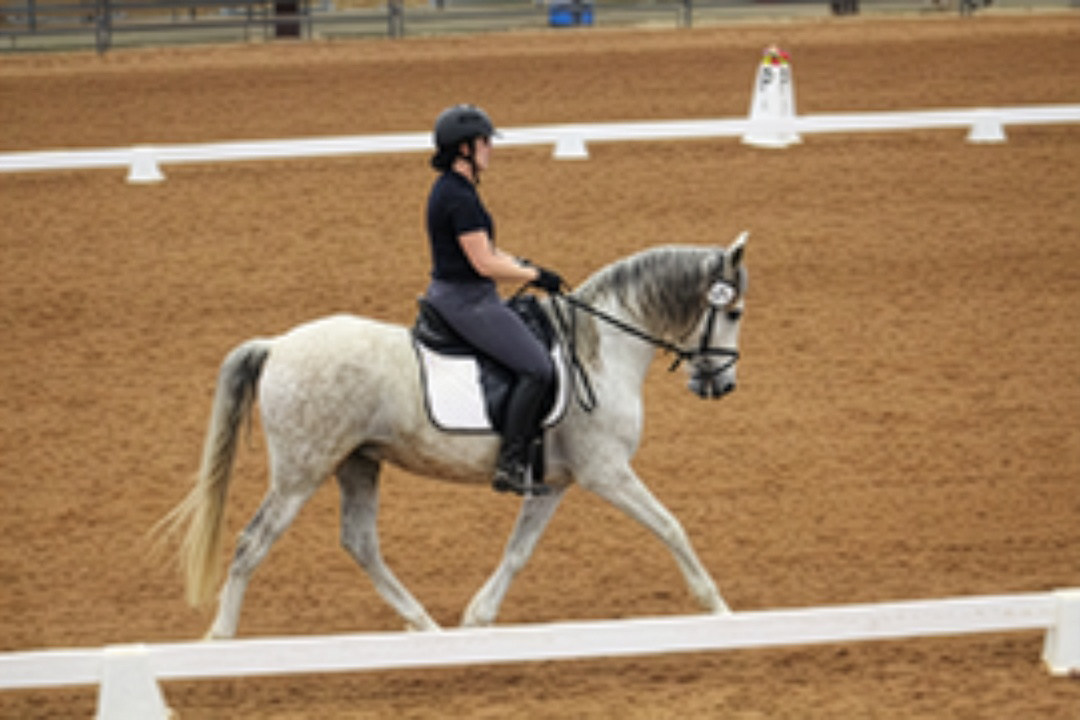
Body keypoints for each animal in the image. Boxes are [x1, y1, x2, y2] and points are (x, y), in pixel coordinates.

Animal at [161, 232, 748, 638]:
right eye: (734, 311)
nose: (721, 385)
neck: (599, 349)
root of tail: (278, 344)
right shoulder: (606, 472)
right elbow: (671, 526)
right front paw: (720, 610)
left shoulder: (556, 481)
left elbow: (518, 551)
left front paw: (476, 619)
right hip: (301, 471)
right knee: (251, 543)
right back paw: (221, 641)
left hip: (358, 462)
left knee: (359, 542)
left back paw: (426, 627)